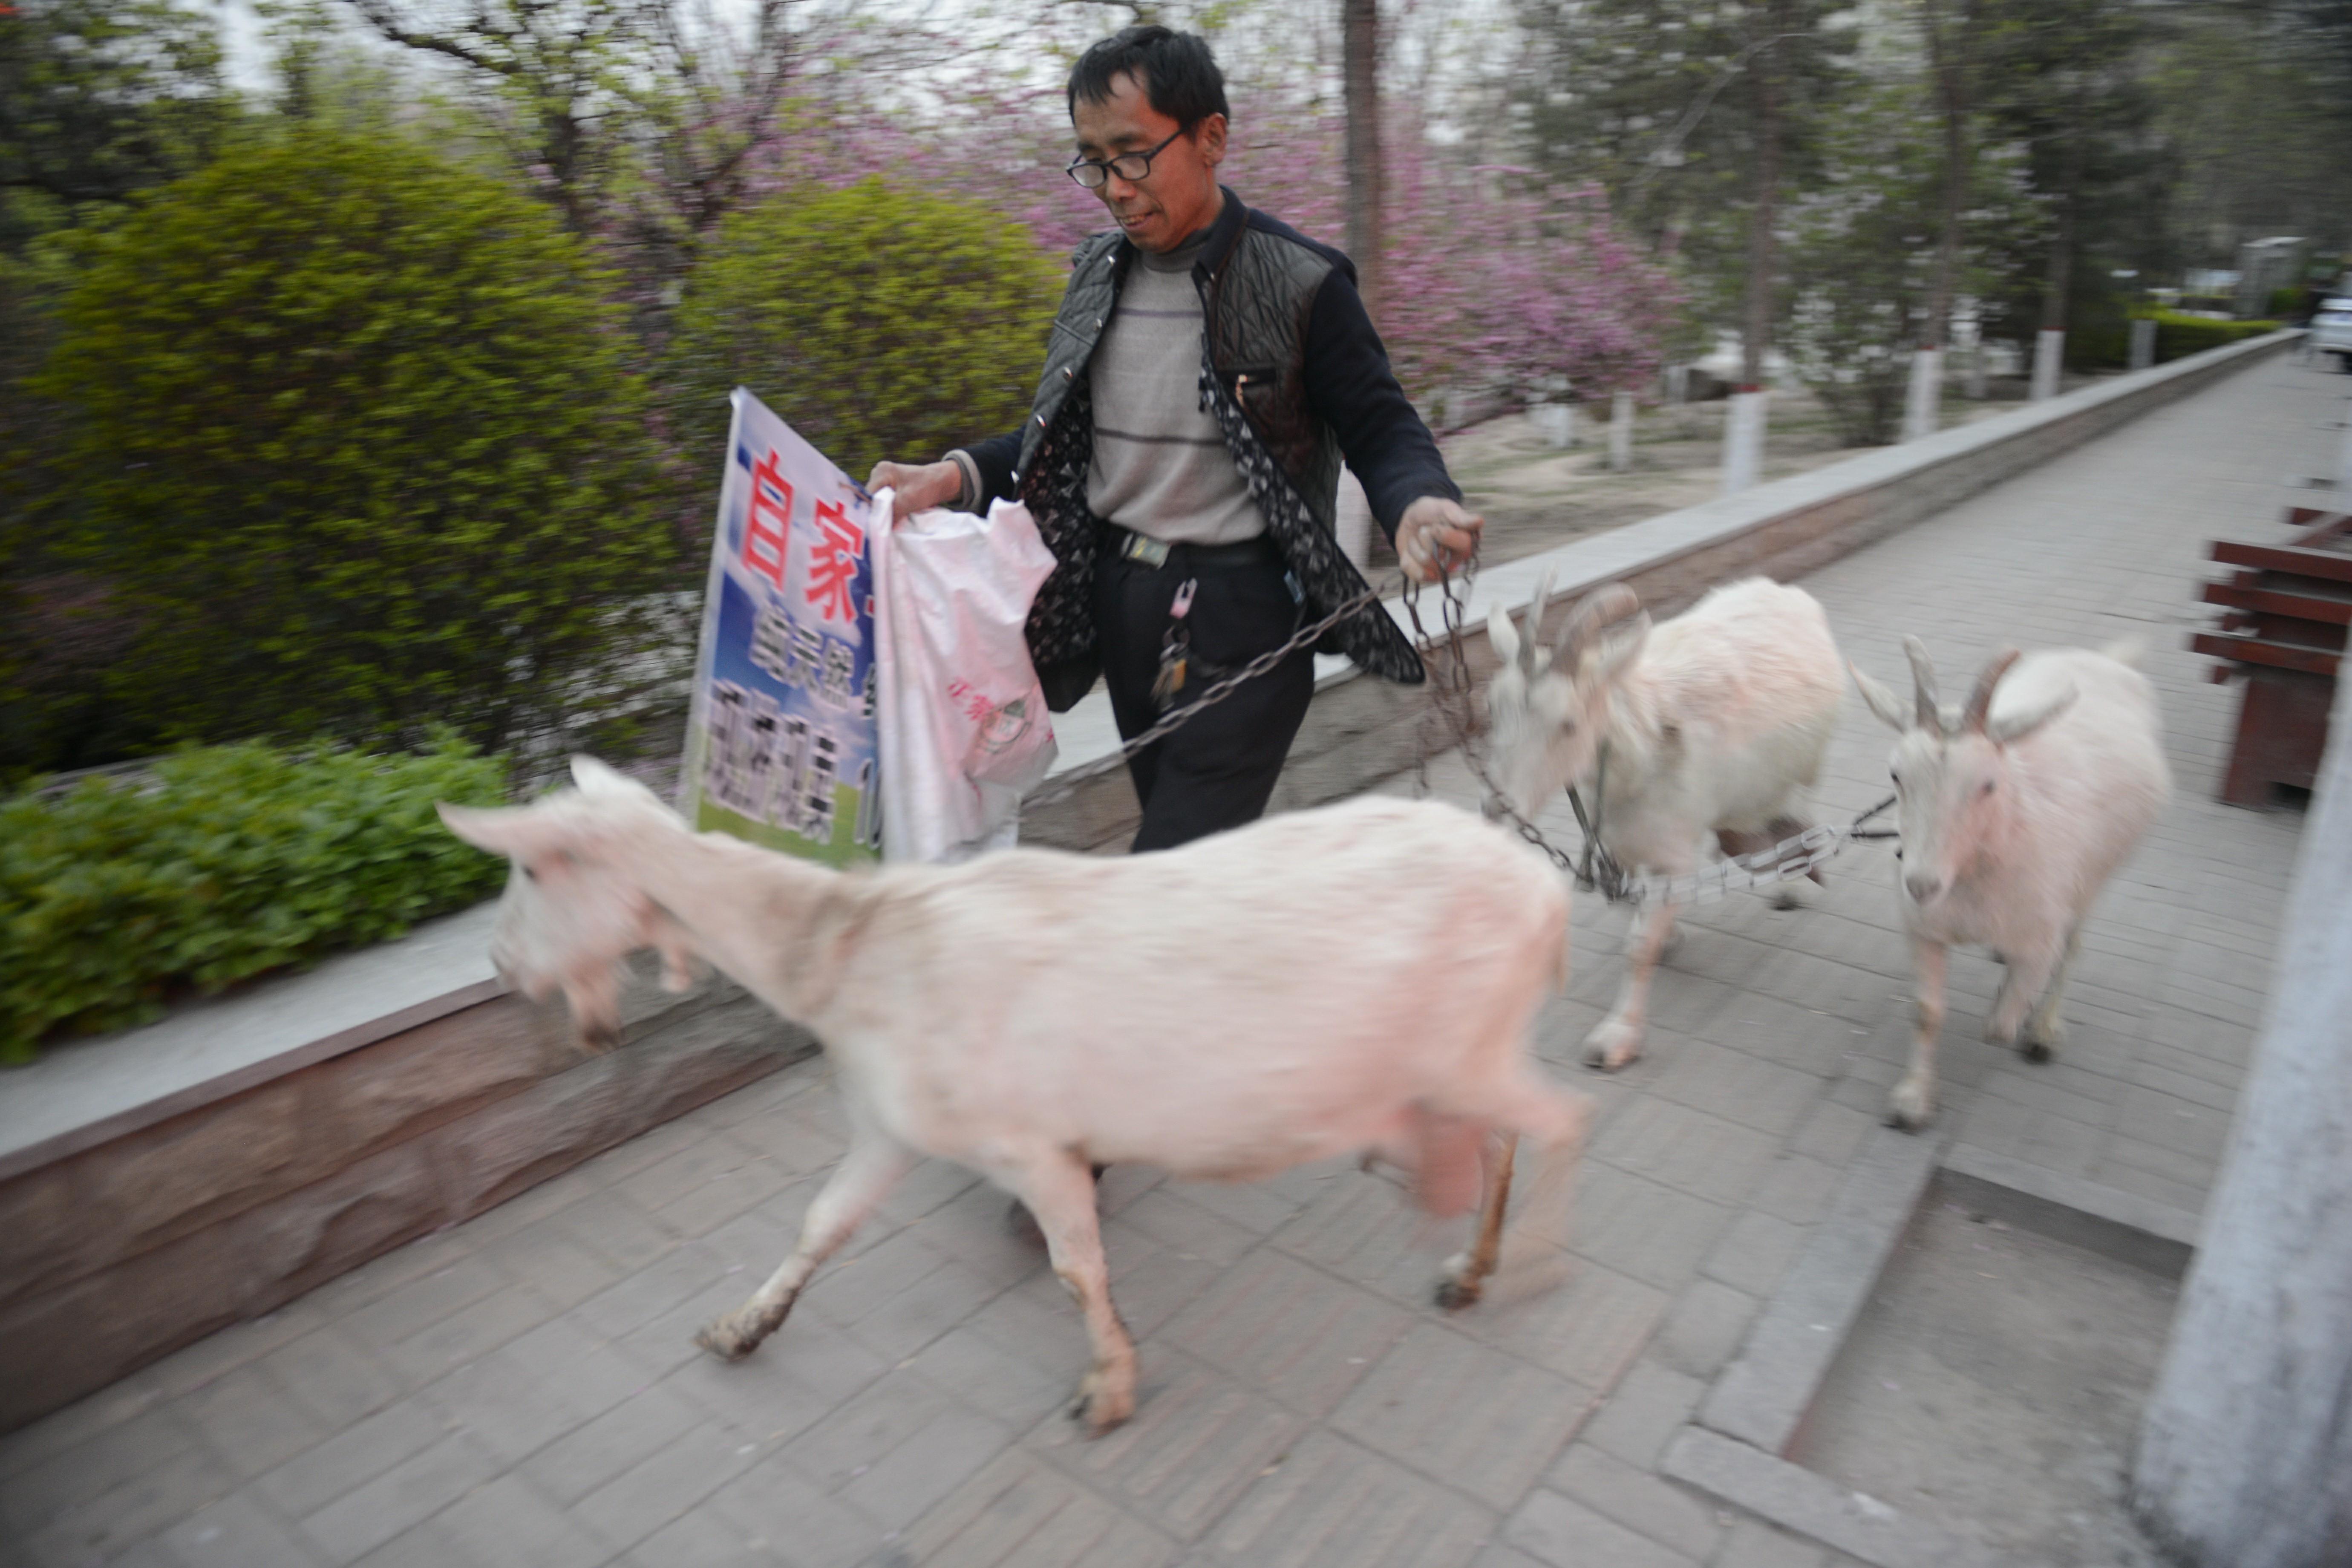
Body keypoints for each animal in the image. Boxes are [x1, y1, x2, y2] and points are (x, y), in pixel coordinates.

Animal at [437, 761, 1599, 1438]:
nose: (497, 965)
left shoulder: (1030, 1144)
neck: (846, 948)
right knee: (1500, 1142)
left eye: (533, 869)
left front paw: (1108, 1388)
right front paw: (740, 1326)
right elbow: (822, 1223)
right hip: (1460, 1051)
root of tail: (1544, 886)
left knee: (1556, 1122)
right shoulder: (891, 1126)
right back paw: (1467, 1260)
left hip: (1474, 1042)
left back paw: (1528, 1264)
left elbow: (1076, 1268)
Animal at [1477, 583, 1844, 1072]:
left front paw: (1617, 1038)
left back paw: (1791, 879)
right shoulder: (1621, 840)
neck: (1643, 740)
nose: (1496, 809)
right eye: (1494, 709)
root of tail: (1784, 591)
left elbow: (1637, 948)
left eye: (1568, 724)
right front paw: (1668, 936)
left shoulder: (1675, 859)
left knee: (1793, 801)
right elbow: (1634, 906)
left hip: (1805, 768)